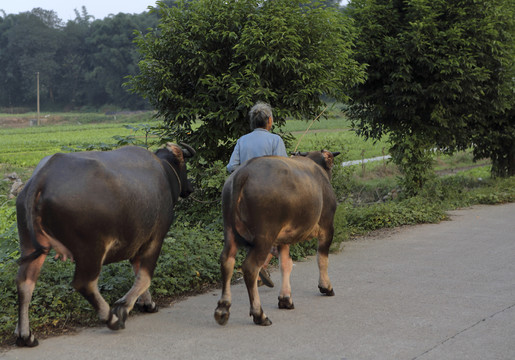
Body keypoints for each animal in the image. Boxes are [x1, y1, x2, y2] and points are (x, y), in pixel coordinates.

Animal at [14, 143, 196, 346]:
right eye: (184, 166)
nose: (190, 188)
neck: (164, 171)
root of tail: (41, 178)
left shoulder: (136, 244)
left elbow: (138, 273)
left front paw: (148, 303)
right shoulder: (155, 239)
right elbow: (145, 277)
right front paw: (123, 307)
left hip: (29, 245)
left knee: (25, 283)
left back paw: (25, 335)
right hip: (91, 249)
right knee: (85, 283)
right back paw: (112, 319)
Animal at [215, 149, 340, 326]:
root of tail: (243, 173)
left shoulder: (283, 239)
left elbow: (285, 265)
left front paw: (285, 299)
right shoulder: (327, 227)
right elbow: (322, 259)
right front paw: (326, 286)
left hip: (230, 231)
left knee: (227, 262)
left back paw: (223, 309)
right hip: (264, 237)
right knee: (250, 268)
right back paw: (259, 314)